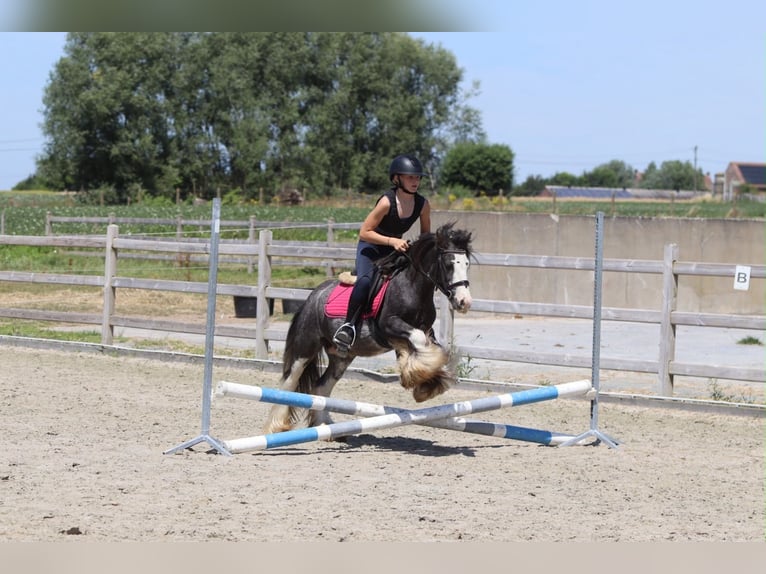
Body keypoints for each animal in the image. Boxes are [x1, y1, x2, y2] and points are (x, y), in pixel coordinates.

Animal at [262, 222, 474, 434]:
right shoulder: (391, 325)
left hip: (341, 357)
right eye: (448, 264)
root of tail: (312, 297)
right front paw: (419, 377)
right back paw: (277, 426)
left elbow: (432, 349)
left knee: (321, 386)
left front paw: (424, 382)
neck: (412, 287)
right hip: (306, 348)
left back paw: (325, 427)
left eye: (466, 264)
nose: (464, 302)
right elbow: (420, 340)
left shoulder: (421, 331)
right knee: (290, 381)